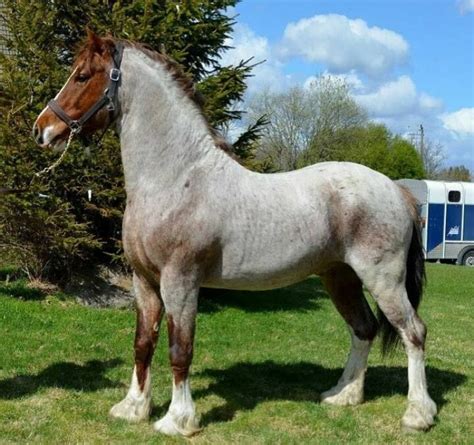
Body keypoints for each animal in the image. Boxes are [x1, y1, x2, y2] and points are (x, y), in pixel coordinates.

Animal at [33, 32, 436, 438]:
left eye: (82, 76)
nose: (42, 129)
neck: (177, 178)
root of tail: (397, 190)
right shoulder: (143, 282)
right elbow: (143, 343)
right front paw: (133, 408)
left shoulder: (180, 283)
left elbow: (180, 350)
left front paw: (179, 420)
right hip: (340, 277)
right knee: (364, 329)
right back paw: (343, 395)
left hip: (384, 280)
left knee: (413, 332)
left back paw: (418, 414)